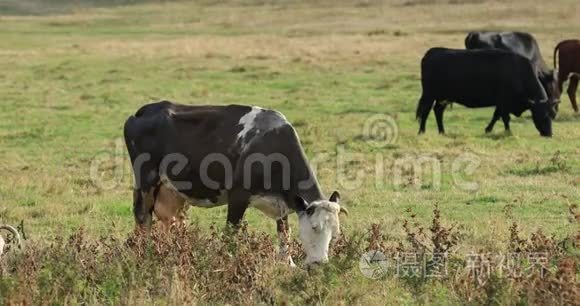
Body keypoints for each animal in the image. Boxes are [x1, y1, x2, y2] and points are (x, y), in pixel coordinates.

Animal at [124, 101, 346, 266]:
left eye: (335, 233)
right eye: (315, 227)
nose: (320, 263)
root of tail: (146, 110)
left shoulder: (281, 203)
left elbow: (285, 234)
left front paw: (287, 264)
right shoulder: (238, 196)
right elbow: (231, 233)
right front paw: (228, 261)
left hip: (173, 192)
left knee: (172, 221)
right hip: (146, 180)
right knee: (143, 217)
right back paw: (145, 254)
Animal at [416, 48, 556, 137]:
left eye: (552, 115)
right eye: (543, 116)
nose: (549, 134)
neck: (518, 73)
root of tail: (431, 52)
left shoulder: (501, 103)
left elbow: (496, 116)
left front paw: (488, 129)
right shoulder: (504, 102)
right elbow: (505, 118)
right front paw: (507, 132)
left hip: (443, 97)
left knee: (438, 111)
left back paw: (442, 132)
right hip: (429, 94)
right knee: (426, 111)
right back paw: (422, 131)